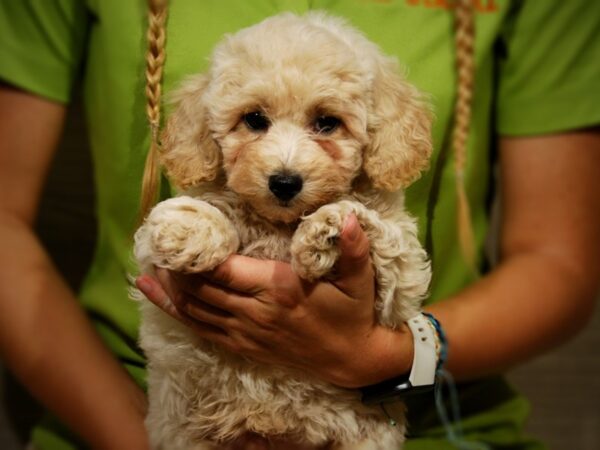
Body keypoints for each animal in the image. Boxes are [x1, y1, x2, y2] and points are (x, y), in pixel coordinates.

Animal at [133, 12, 432, 448]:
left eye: (327, 123)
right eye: (255, 120)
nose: (285, 182)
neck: (279, 224)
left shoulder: (399, 291)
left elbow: (374, 226)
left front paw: (327, 230)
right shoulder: (153, 266)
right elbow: (202, 210)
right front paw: (192, 228)